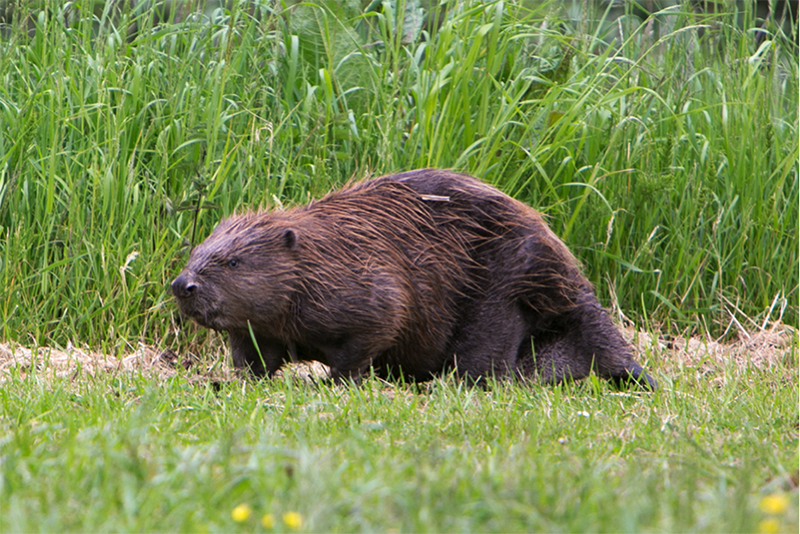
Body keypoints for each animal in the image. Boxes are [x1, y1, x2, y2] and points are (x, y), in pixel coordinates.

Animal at [173, 170, 656, 392]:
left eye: (232, 261)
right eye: (196, 254)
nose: (183, 286)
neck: (323, 255)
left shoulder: (369, 284)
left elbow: (378, 325)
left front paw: (327, 381)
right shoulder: (262, 326)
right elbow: (254, 355)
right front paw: (229, 381)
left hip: (505, 287)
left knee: (487, 354)